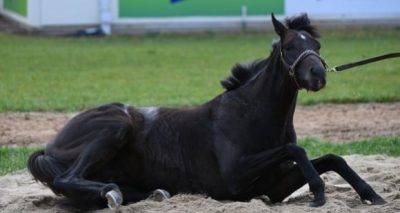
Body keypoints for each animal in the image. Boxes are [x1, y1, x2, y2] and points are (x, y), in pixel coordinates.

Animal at [26, 14, 386, 211]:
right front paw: (318, 194)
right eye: (288, 47)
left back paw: (154, 193)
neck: (253, 115)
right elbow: (297, 150)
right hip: (114, 126)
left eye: (316, 46)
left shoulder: (274, 185)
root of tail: (49, 146)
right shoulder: (235, 176)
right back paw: (112, 192)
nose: (318, 75)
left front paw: (371, 195)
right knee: (68, 178)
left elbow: (330, 158)